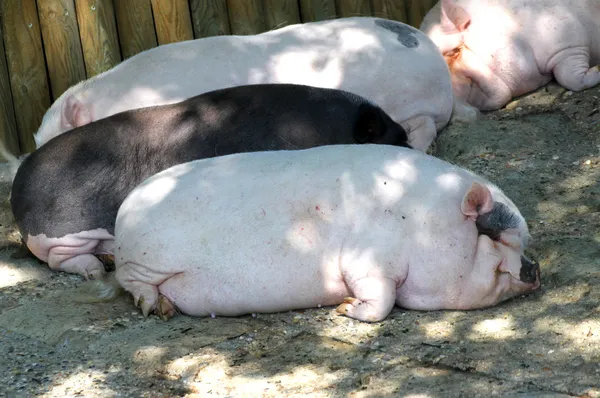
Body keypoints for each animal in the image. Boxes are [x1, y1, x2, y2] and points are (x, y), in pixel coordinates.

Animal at [10, 82, 412, 278]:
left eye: (403, 136)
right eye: (392, 139)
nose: (409, 141)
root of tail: (17, 189)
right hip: (61, 233)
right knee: (60, 260)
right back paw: (96, 270)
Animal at [88, 145, 540, 322]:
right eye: (493, 235)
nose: (535, 270)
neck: (422, 223)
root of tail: (124, 211)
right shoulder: (366, 259)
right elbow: (380, 300)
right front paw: (345, 308)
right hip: (142, 261)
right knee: (131, 282)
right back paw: (157, 310)